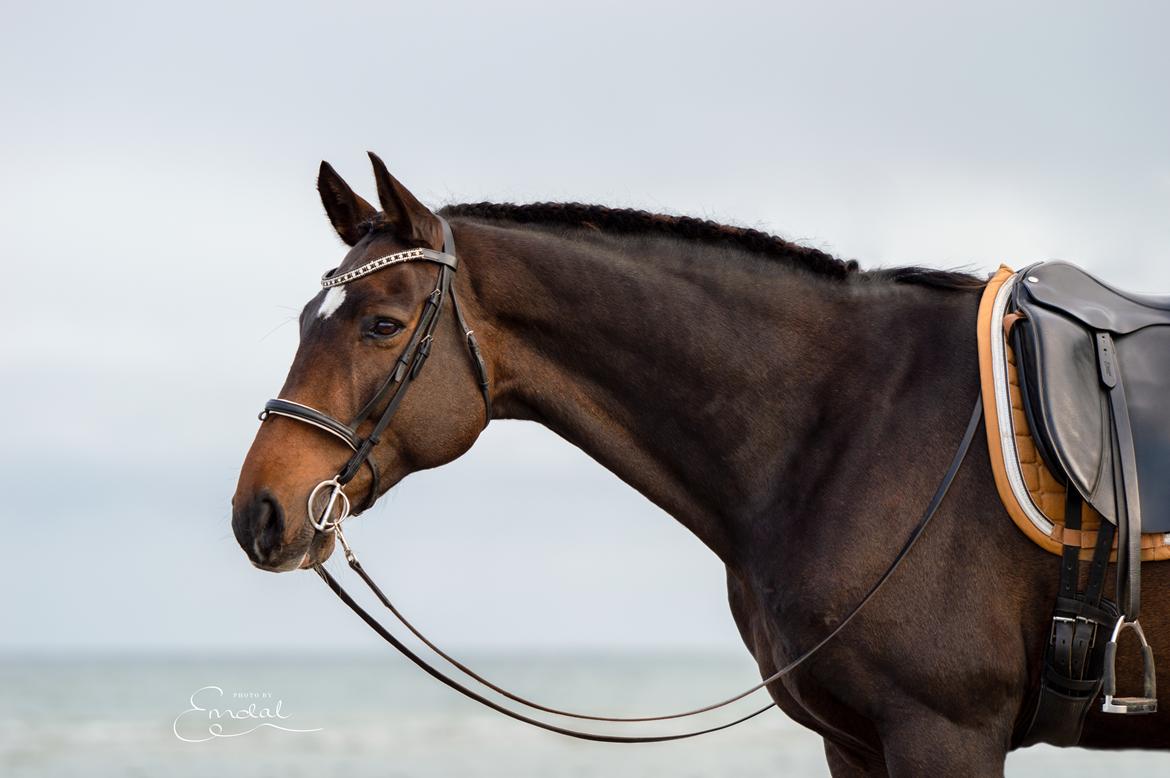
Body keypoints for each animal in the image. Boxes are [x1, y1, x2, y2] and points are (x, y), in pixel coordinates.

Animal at [230, 154, 1170, 772]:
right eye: (308, 319)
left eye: (382, 324)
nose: (259, 511)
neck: (857, 418)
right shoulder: (856, 740)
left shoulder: (945, 732)